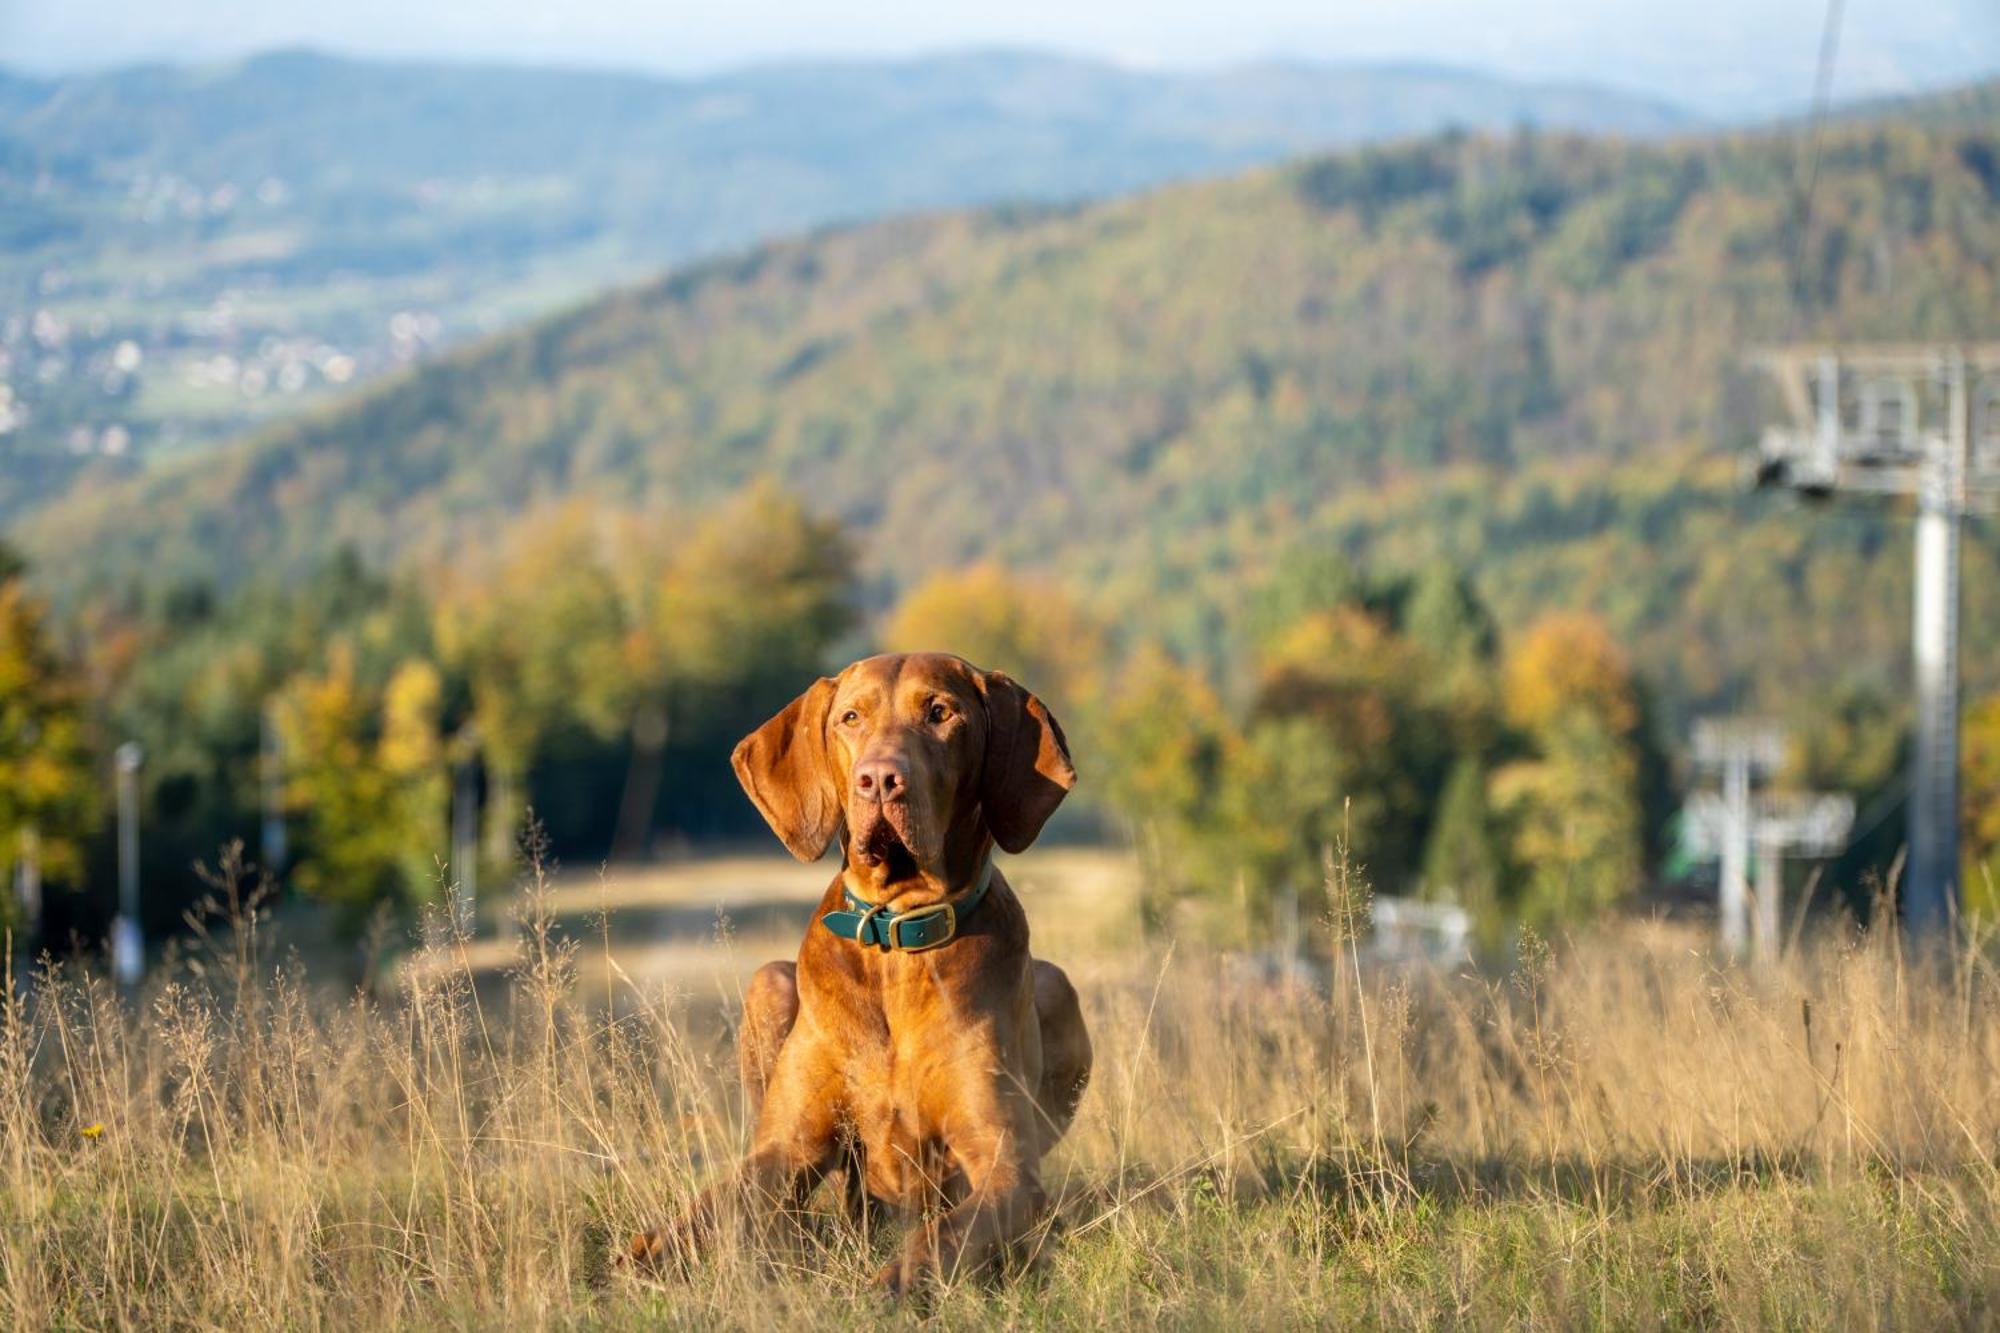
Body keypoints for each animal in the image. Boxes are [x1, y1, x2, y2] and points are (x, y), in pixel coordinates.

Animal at [624, 652, 1096, 1288]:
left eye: (940, 713)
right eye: (851, 717)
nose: (879, 779)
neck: (894, 937)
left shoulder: (1007, 1170)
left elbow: (946, 1234)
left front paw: (899, 1282)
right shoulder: (784, 1150)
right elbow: (712, 1205)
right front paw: (649, 1250)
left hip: (1056, 986)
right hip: (769, 982)